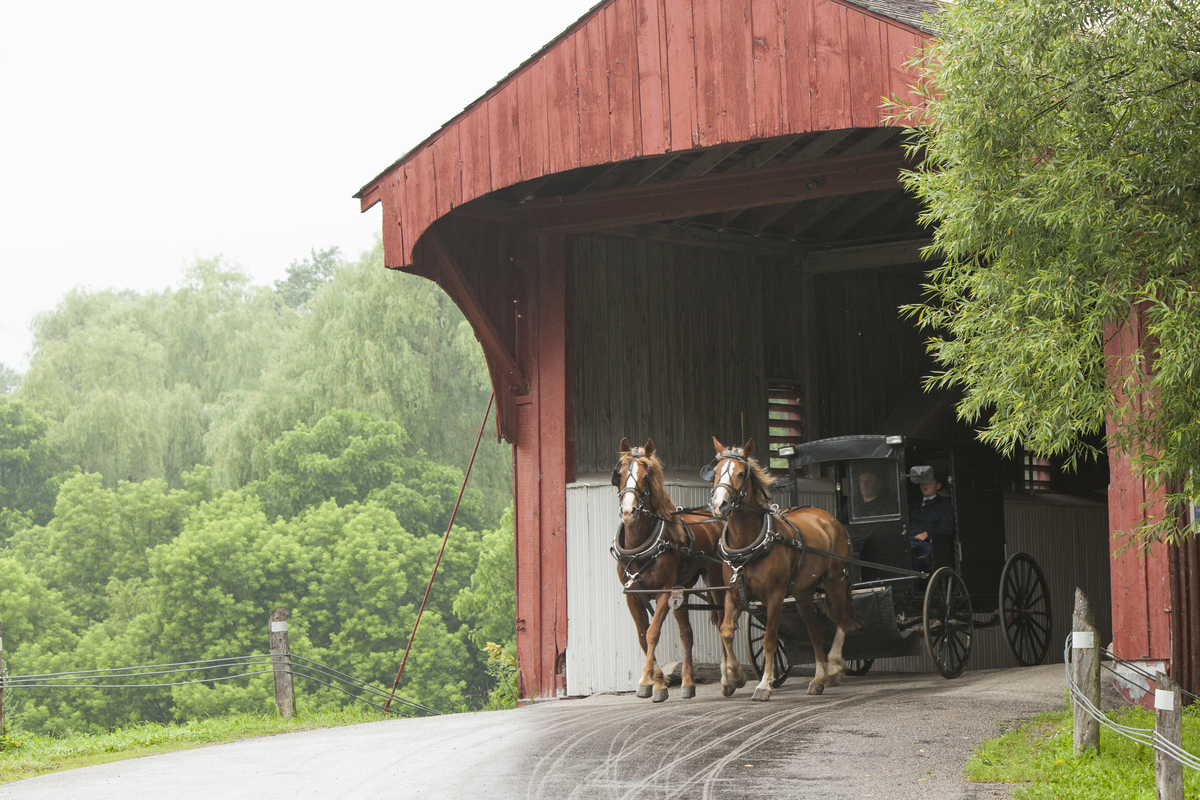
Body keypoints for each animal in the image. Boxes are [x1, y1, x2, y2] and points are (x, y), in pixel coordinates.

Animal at [609, 438, 720, 700]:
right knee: (686, 634)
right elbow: (643, 636)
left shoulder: (664, 591)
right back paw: (688, 683)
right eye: (619, 475)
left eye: (645, 477)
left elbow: (653, 633)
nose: (628, 512)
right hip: (682, 592)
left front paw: (646, 682)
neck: (639, 547)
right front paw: (657, 683)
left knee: (725, 621)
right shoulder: (633, 596)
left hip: (716, 580)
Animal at [705, 438, 859, 700]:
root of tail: (829, 518)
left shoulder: (775, 597)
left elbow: (769, 640)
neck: (747, 545)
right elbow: (726, 631)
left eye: (741, 473)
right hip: (803, 593)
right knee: (815, 631)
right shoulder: (732, 595)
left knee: (842, 620)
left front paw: (764, 684)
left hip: (835, 582)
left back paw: (835, 666)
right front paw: (736, 676)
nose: (719, 505)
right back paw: (819, 679)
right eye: (715, 472)